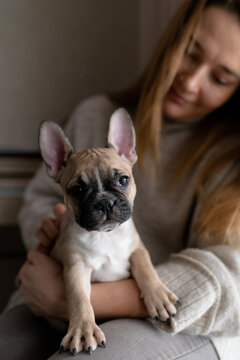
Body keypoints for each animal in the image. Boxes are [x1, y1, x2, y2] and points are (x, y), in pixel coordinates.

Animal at [39, 108, 178, 356]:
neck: (106, 235)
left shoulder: (137, 249)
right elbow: (79, 299)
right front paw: (83, 330)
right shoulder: (75, 267)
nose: (105, 202)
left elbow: (146, 267)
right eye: (77, 190)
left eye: (123, 180)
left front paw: (159, 295)